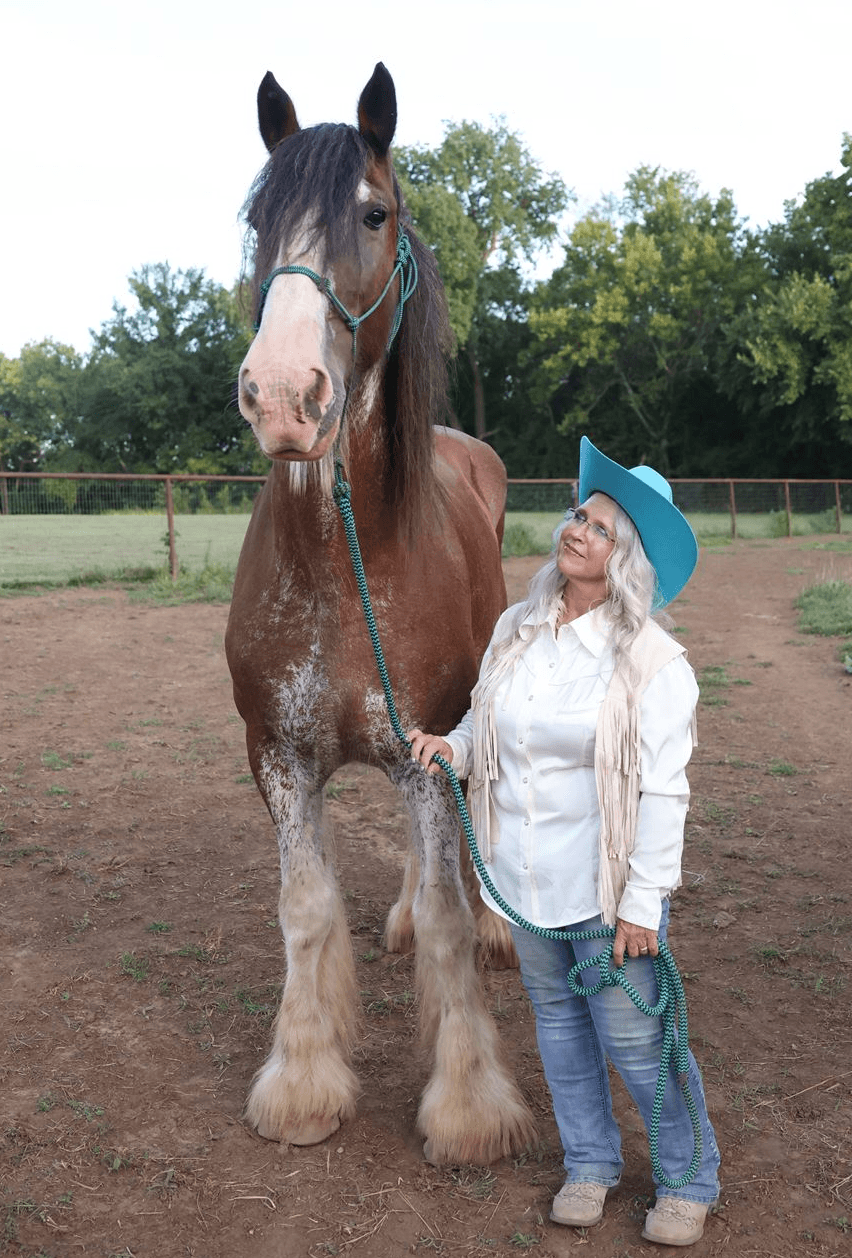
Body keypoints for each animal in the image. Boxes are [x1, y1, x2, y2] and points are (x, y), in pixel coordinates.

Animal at [225, 62, 535, 1165]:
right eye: (258, 220)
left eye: (373, 212)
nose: (283, 395)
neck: (337, 559)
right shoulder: (276, 754)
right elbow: (305, 907)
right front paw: (304, 1080)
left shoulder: (427, 749)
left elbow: (446, 915)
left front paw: (467, 1102)